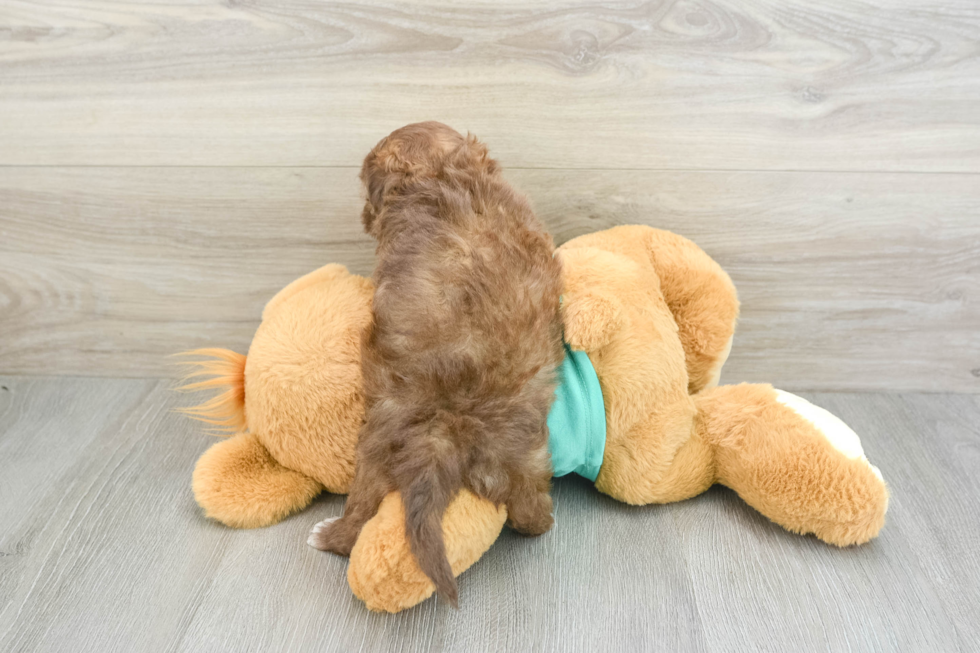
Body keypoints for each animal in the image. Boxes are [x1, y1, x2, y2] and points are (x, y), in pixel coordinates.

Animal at [310, 123, 564, 608]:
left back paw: (330, 535)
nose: (363, 215)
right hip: (529, 453)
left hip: (374, 444)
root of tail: (450, 423)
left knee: (361, 507)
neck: (444, 175)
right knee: (530, 510)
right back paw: (543, 522)